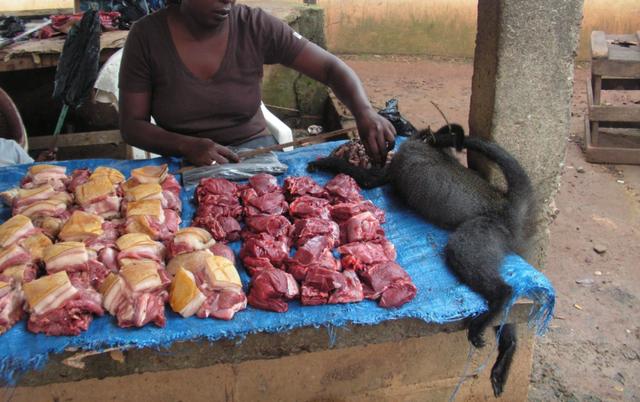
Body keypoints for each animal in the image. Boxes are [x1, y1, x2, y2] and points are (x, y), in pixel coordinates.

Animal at [308, 125, 536, 396]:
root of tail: (505, 209)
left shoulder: (399, 160)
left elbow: (371, 180)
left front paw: (326, 162)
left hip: (486, 229)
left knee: (465, 254)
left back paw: (499, 299)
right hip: (497, 237)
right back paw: (508, 344)